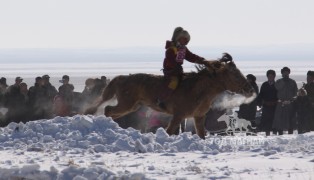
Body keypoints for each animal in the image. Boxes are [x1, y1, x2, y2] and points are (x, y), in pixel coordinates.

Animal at [84, 53, 256, 139]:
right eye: (235, 75)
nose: (249, 89)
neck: (198, 89)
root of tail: (122, 77)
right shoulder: (179, 115)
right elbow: (169, 130)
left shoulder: (198, 117)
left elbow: (201, 134)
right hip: (127, 104)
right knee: (108, 109)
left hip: (132, 105)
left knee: (110, 110)